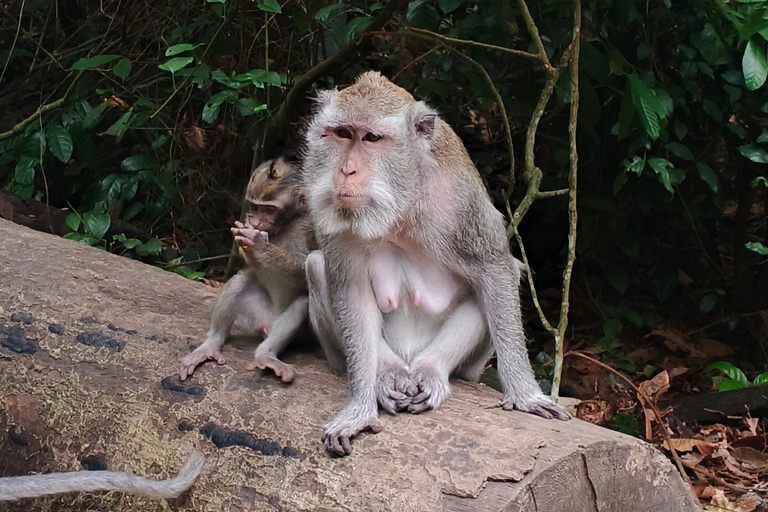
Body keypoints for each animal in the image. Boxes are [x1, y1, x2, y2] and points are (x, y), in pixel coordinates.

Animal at [179, 157, 314, 383]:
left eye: (269, 210)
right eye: (254, 206)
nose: (254, 220)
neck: (289, 223)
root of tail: (269, 322)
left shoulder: (312, 227)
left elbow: (308, 270)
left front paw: (260, 245)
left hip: (302, 334)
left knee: (303, 304)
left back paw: (266, 355)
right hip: (256, 315)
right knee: (238, 283)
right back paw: (211, 344)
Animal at [302, 72, 570, 455]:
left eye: (371, 138)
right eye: (342, 133)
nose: (346, 170)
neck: (400, 206)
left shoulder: (461, 204)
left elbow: (496, 269)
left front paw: (525, 394)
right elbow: (351, 291)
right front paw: (359, 408)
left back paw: (430, 370)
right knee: (316, 266)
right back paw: (388, 372)